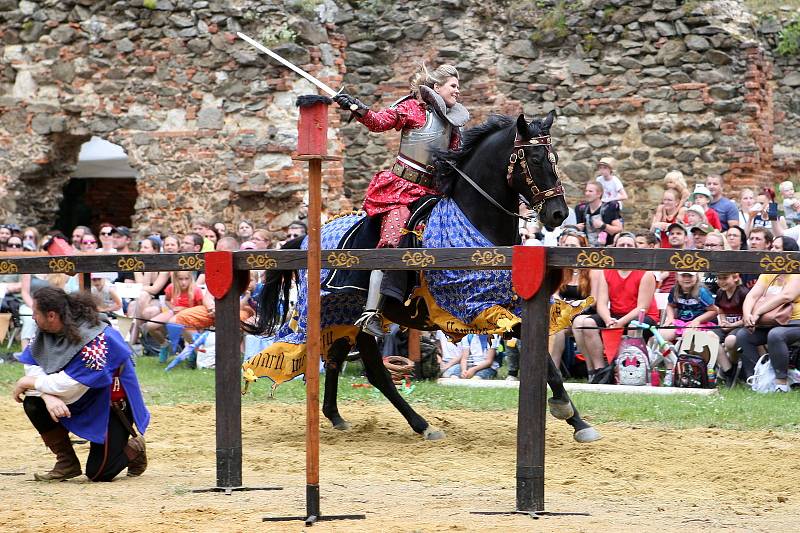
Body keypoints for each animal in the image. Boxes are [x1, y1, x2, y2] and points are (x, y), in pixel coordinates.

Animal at [244, 113, 600, 444]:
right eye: (536, 159)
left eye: (554, 157)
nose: (558, 213)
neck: (474, 220)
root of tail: (306, 239)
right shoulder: (479, 307)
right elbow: (542, 359)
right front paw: (568, 412)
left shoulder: (509, 305)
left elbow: (543, 357)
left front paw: (578, 421)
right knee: (374, 371)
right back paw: (421, 425)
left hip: (342, 316)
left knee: (339, 360)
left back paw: (338, 416)